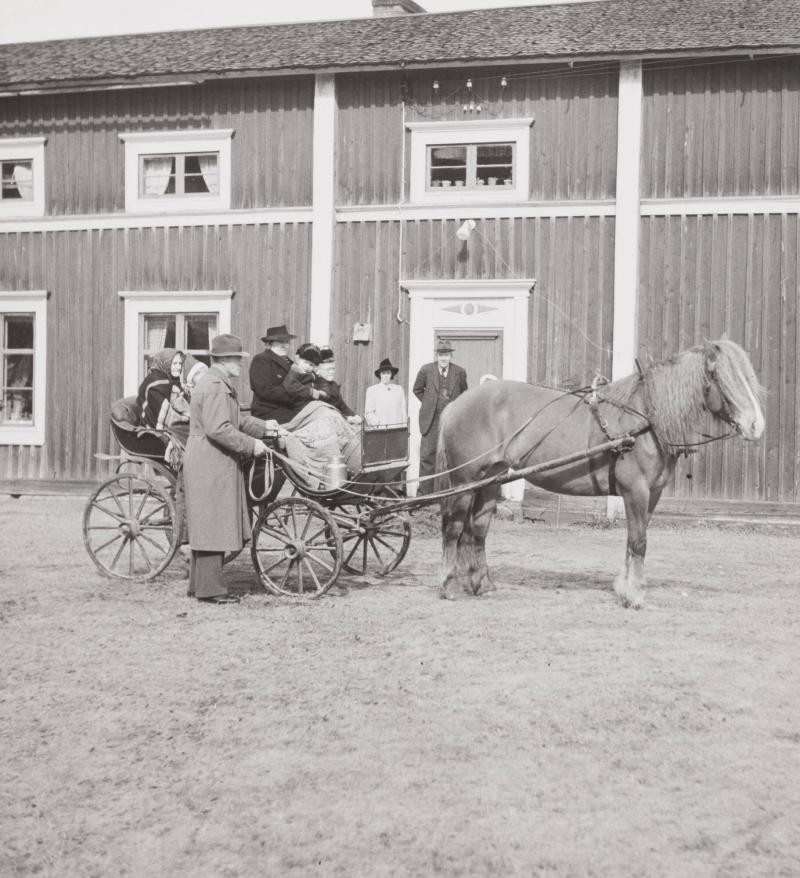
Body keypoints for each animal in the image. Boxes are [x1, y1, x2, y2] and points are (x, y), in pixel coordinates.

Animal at [434, 340, 764, 608]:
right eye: (719, 376)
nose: (756, 425)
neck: (644, 419)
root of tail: (456, 404)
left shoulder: (652, 494)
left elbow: (634, 539)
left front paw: (624, 586)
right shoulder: (636, 491)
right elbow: (639, 541)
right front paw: (634, 595)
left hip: (491, 480)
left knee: (477, 530)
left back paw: (482, 584)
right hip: (464, 481)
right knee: (453, 528)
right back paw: (449, 586)